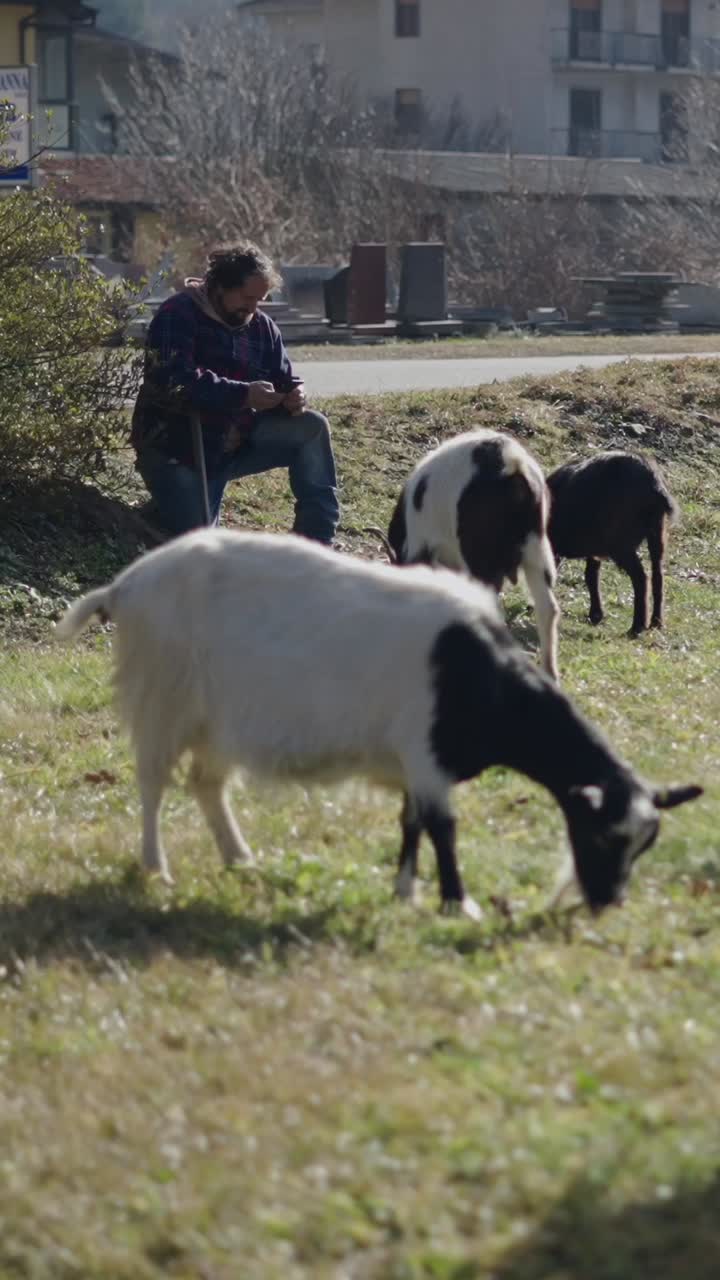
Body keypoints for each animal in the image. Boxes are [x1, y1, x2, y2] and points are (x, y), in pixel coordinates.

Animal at [56, 529, 701, 917]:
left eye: (645, 843)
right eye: (603, 834)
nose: (607, 902)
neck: (474, 673)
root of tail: (125, 585)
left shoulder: (414, 763)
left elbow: (410, 823)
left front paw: (404, 890)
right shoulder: (425, 757)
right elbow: (443, 828)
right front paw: (457, 904)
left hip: (216, 722)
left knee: (206, 785)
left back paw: (240, 858)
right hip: (162, 701)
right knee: (152, 786)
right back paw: (156, 867)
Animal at [547, 451, 678, 635]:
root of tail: (653, 483)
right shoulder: (593, 550)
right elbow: (591, 575)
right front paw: (596, 615)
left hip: (621, 545)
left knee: (640, 577)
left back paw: (637, 627)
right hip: (657, 535)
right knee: (658, 574)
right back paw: (656, 623)